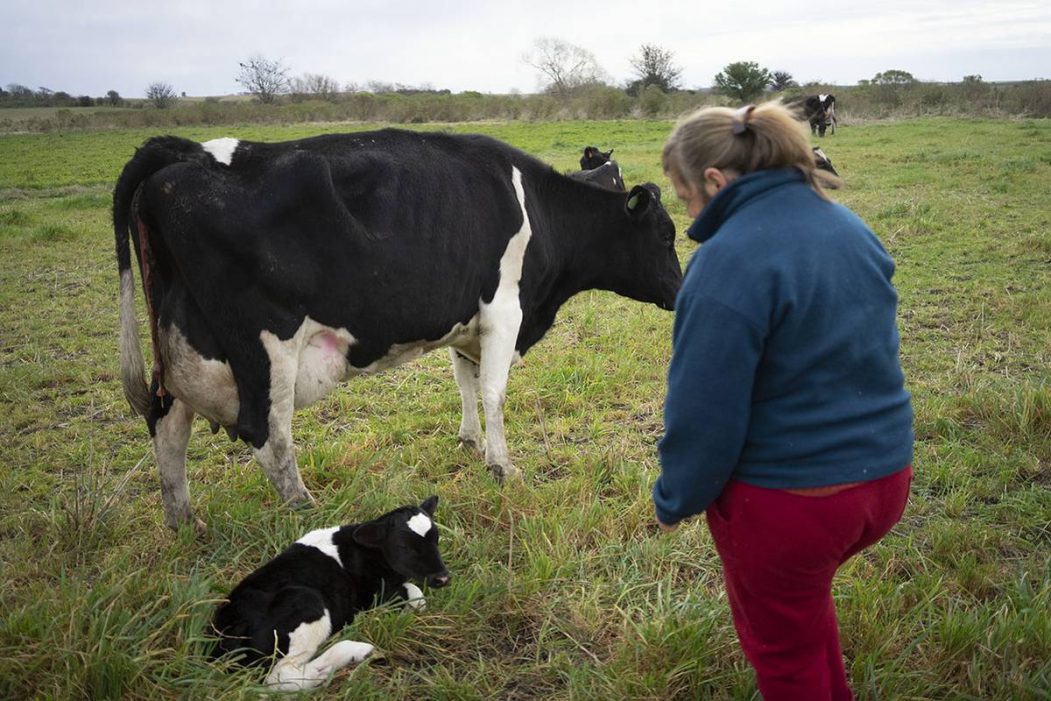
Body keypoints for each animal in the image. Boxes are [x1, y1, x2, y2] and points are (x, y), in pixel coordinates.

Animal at [108, 127, 681, 531]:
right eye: (666, 234)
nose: (680, 290)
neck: (538, 209)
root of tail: (183, 153)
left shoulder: (466, 320)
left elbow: (465, 382)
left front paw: (470, 442)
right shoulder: (504, 311)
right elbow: (493, 392)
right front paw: (503, 467)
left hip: (184, 342)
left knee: (167, 425)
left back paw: (185, 523)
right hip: (263, 347)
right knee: (265, 432)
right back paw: (308, 509)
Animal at [209, 496, 447, 693]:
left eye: (436, 538)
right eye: (404, 546)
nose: (443, 578)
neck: (364, 551)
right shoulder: (374, 595)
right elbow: (416, 594)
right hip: (306, 603)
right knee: (280, 677)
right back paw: (354, 651)